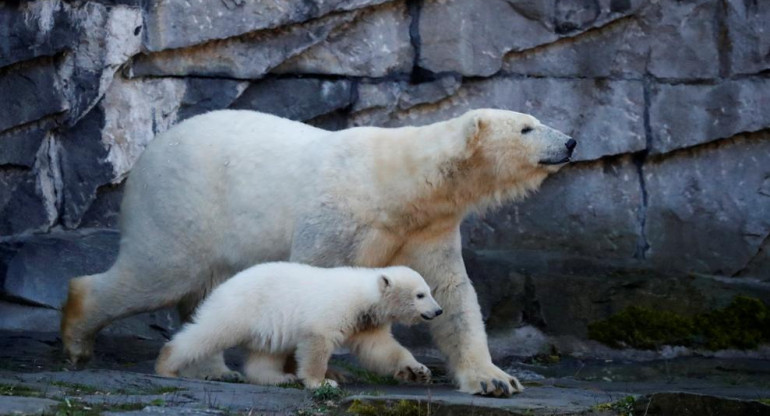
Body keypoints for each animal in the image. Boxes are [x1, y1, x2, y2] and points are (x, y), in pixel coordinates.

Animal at [63, 108, 572, 396]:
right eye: (527, 127)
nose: (570, 141)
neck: (396, 184)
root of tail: (147, 154)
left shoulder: (429, 229)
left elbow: (453, 294)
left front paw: (493, 379)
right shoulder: (338, 216)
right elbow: (312, 280)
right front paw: (309, 371)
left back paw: (213, 370)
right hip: (184, 203)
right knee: (158, 273)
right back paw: (77, 340)